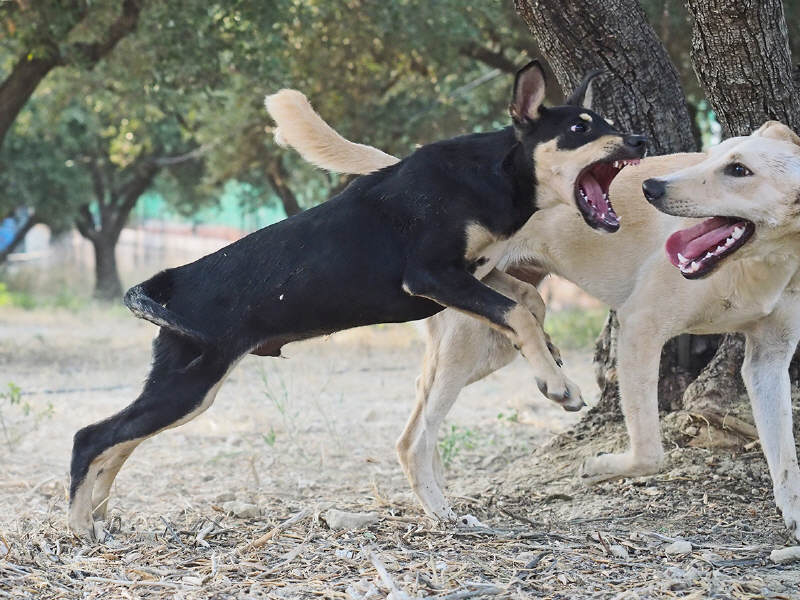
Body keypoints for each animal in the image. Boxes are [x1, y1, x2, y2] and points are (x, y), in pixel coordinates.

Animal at [67, 61, 648, 539]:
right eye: (580, 128)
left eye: (605, 122)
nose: (641, 139)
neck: (492, 172)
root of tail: (171, 282)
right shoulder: (432, 276)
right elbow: (515, 313)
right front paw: (558, 384)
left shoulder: (474, 272)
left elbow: (525, 300)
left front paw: (548, 354)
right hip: (188, 387)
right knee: (90, 436)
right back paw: (76, 527)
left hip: (187, 390)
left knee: (116, 444)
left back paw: (97, 515)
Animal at [272, 89, 800, 540]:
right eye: (712, 158)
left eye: (738, 169)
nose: (652, 186)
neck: (762, 262)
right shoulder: (639, 328)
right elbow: (651, 453)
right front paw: (598, 466)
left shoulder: (767, 362)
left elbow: (784, 455)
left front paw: (792, 513)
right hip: (470, 342)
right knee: (413, 438)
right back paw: (442, 510)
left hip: (488, 345)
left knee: (427, 410)